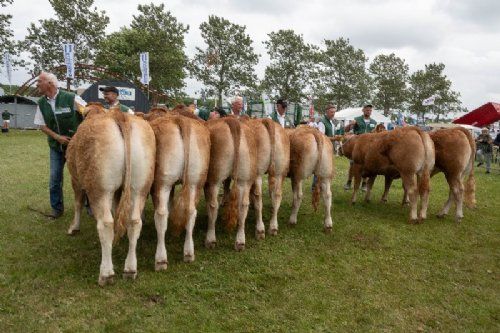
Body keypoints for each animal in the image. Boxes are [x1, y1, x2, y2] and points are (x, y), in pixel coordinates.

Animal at [66, 104, 155, 286]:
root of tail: (120, 116)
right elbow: (116, 208)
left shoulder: (76, 180)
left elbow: (78, 203)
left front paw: (74, 227)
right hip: (140, 186)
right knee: (135, 222)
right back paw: (130, 268)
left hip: (100, 188)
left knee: (105, 223)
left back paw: (106, 274)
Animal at [148, 107, 211, 268]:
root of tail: (181, 120)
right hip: (195, 180)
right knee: (191, 211)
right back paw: (188, 253)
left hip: (162, 182)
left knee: (161, 214)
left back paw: (160, 260)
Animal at [204, 116, 258, 249]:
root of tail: (232, 121)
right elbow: (227, 184)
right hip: (245, 178)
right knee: (243, 205)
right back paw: (240, 241)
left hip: (214, 179)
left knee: (213, 205)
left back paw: (210, 239)